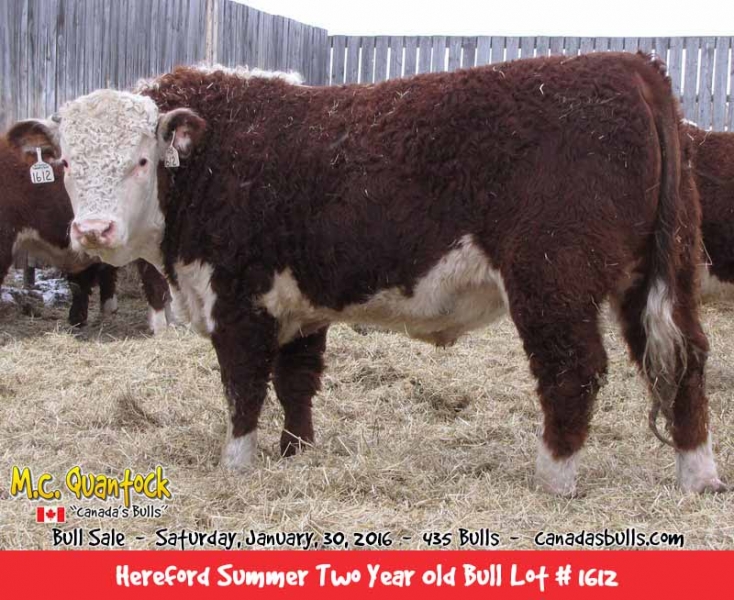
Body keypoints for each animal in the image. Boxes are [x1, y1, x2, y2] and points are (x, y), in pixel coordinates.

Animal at [21, 52, 724, 495]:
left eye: (141, 160)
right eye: (66, 163)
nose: (93, 232)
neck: (211, 165)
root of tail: (630, 65)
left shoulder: (240, 301)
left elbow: (243, 389)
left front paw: (237, 466)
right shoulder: (297, 303)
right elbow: (296, 383)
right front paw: (295, 453)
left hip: (554, 280)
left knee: (573, 371)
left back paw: (552, 480)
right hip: (659, 274)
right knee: (685, 357)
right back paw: (698, 476)